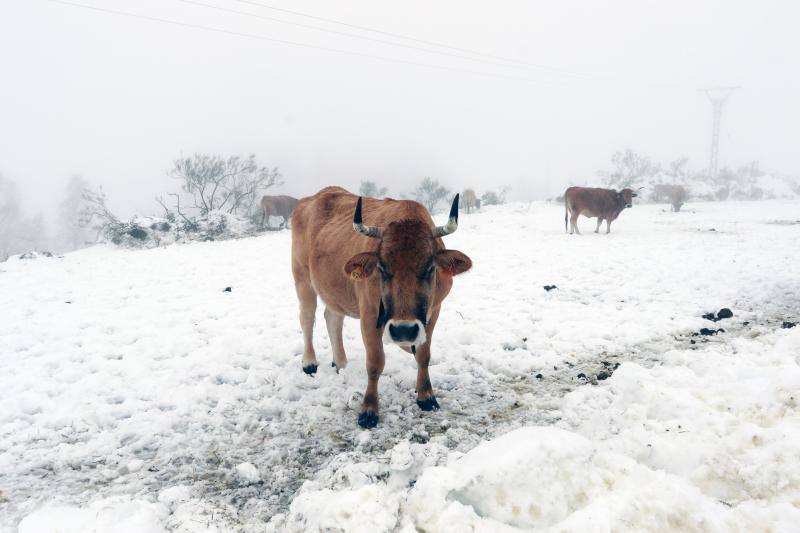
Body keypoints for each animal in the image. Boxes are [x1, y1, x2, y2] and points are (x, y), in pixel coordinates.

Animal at [292, 187, 468, 428]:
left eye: (430, 267)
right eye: (382, 268)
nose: (403, 330)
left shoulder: (433, 312)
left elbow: (423, 355)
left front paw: (426, 396)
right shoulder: (369, 315)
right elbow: (375, 363)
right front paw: (369, 409)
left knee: (333, 319)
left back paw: (341, 363)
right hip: (303, 278)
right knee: (307, 318)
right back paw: (309, 362)